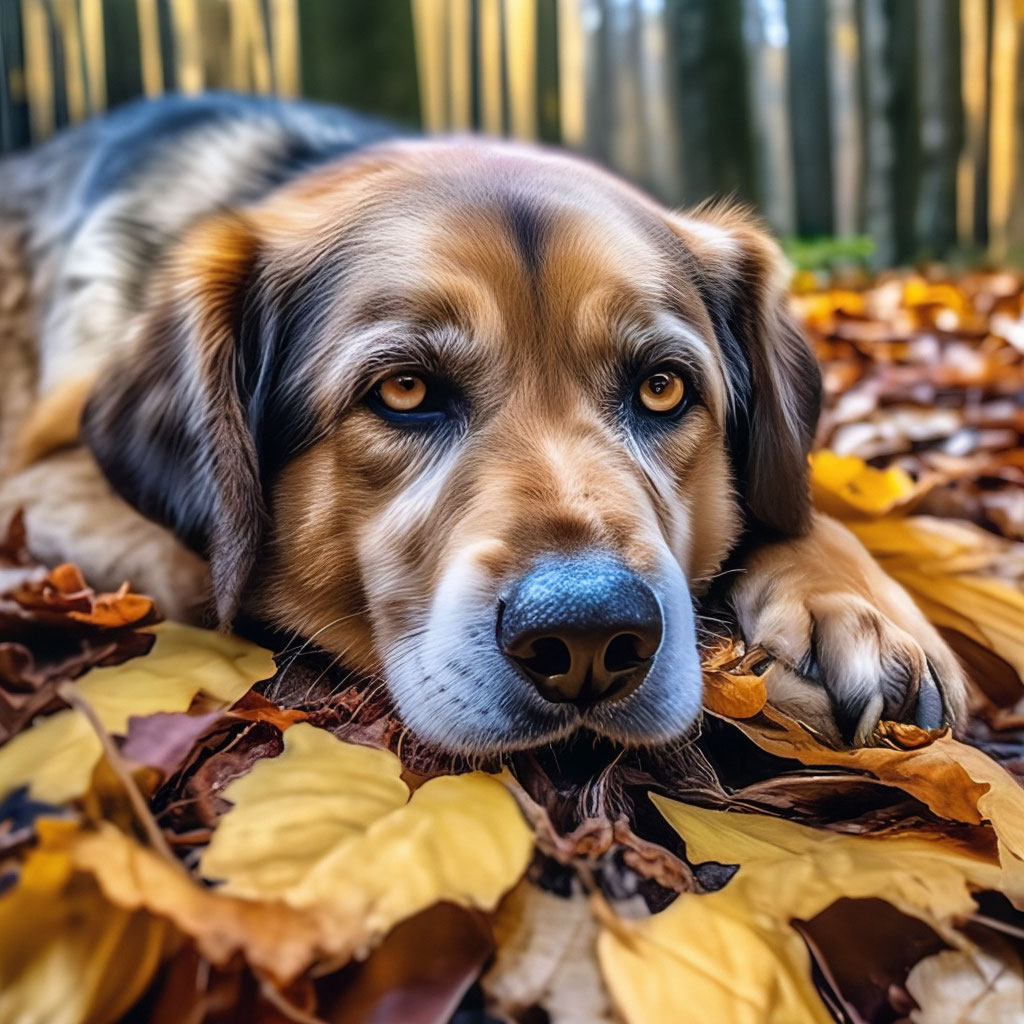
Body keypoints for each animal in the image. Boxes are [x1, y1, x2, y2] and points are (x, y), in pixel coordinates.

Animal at [0, 94, 962, 753]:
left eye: (662, 388)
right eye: (403, 390)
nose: (589, 636)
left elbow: (800, 509)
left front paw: (855, 608)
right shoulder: (47, 477)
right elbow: (206, 575)